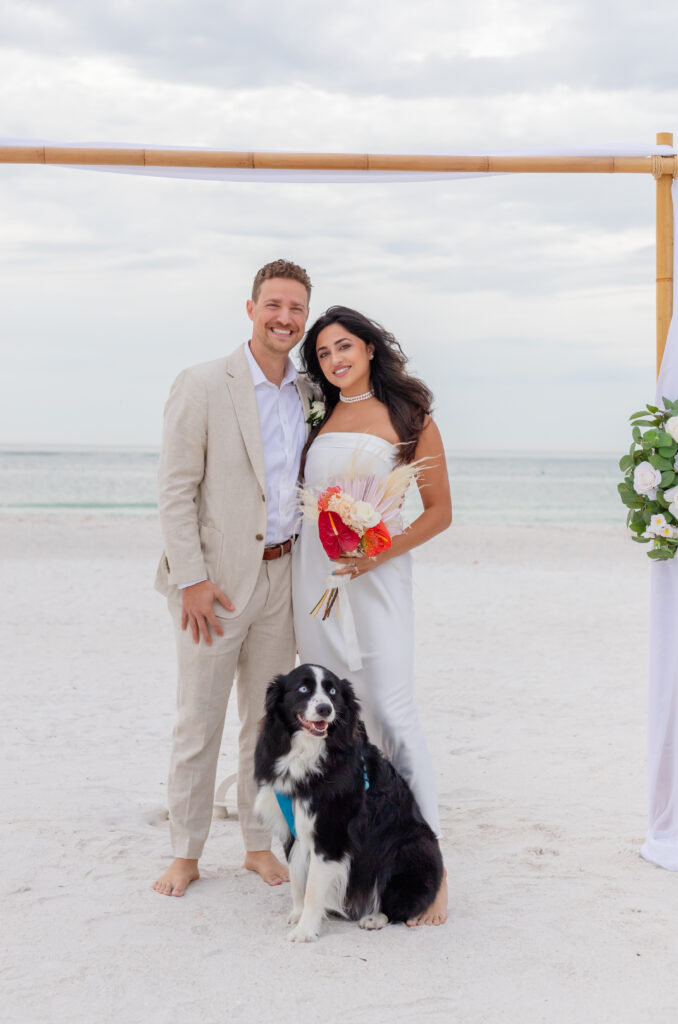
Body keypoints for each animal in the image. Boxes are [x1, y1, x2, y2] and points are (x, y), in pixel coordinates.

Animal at [255, 663, 446, 942]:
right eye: (303, 689)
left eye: (333, 691)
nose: (325, 709)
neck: (308, 752)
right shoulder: (291, 827)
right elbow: (297, 877)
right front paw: (297, 914)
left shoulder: (330, 835)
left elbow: (312, 888)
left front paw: (305, 930)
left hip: (412, 848)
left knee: (400, 904)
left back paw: (375, 917)